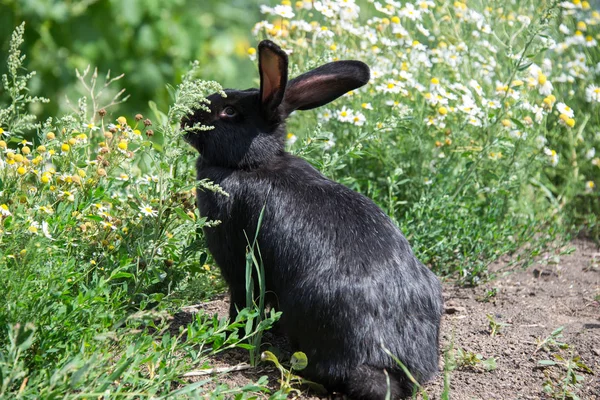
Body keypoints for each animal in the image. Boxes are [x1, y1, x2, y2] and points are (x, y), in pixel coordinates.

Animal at [185, 41, 442, 400]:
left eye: (230, 112)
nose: (185, 119)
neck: (251, 164)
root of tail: (383, 363)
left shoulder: (236, 264)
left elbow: (242, 302)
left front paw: (229, 333)